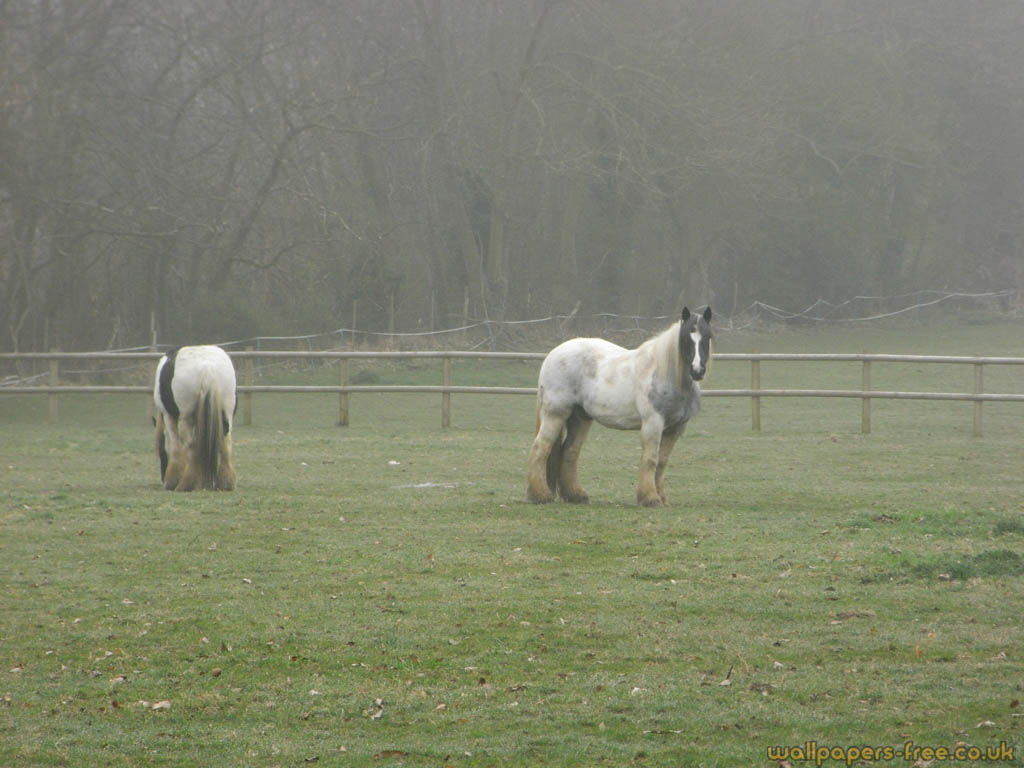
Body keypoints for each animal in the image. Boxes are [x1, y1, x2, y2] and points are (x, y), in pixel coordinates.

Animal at [153, 345, 237, 491]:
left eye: (161, 452)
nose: (162, 478)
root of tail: (207, 367)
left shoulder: (168, 416)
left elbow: (175, 447)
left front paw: (172, 480)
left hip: (185, 417)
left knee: (190, 445)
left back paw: (186, 483)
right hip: (226, 414)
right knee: (226, 442)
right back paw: (226, 483)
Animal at [526, 306, 712, 507]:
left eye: (708, 336)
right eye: (685, 338)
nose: (697, 371)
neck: (666, 375)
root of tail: (553, 354)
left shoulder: (675, 428)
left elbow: (662, 462)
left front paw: (661, 497)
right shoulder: (653, 423)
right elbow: (650, 459)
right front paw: (650, 498)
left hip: (580, 418)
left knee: (570, 452)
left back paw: (576, 495)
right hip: (555, 414)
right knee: (540, 448)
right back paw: (540, 495)